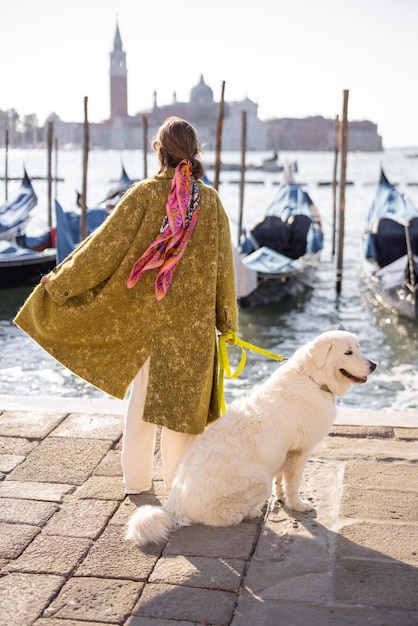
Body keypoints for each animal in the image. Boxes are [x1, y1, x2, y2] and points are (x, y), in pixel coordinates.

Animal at [125, 330, 378, 544]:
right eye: (348, 352)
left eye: (358, 348)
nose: (374, 365)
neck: (313, 379)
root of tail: (174, 503)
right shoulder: (299, 451)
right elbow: (294, 484)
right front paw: (298, 506)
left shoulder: (286, 452)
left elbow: (282, 480)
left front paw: (281, 498)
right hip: (258, 481)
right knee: (222, 518)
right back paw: (251, 513)